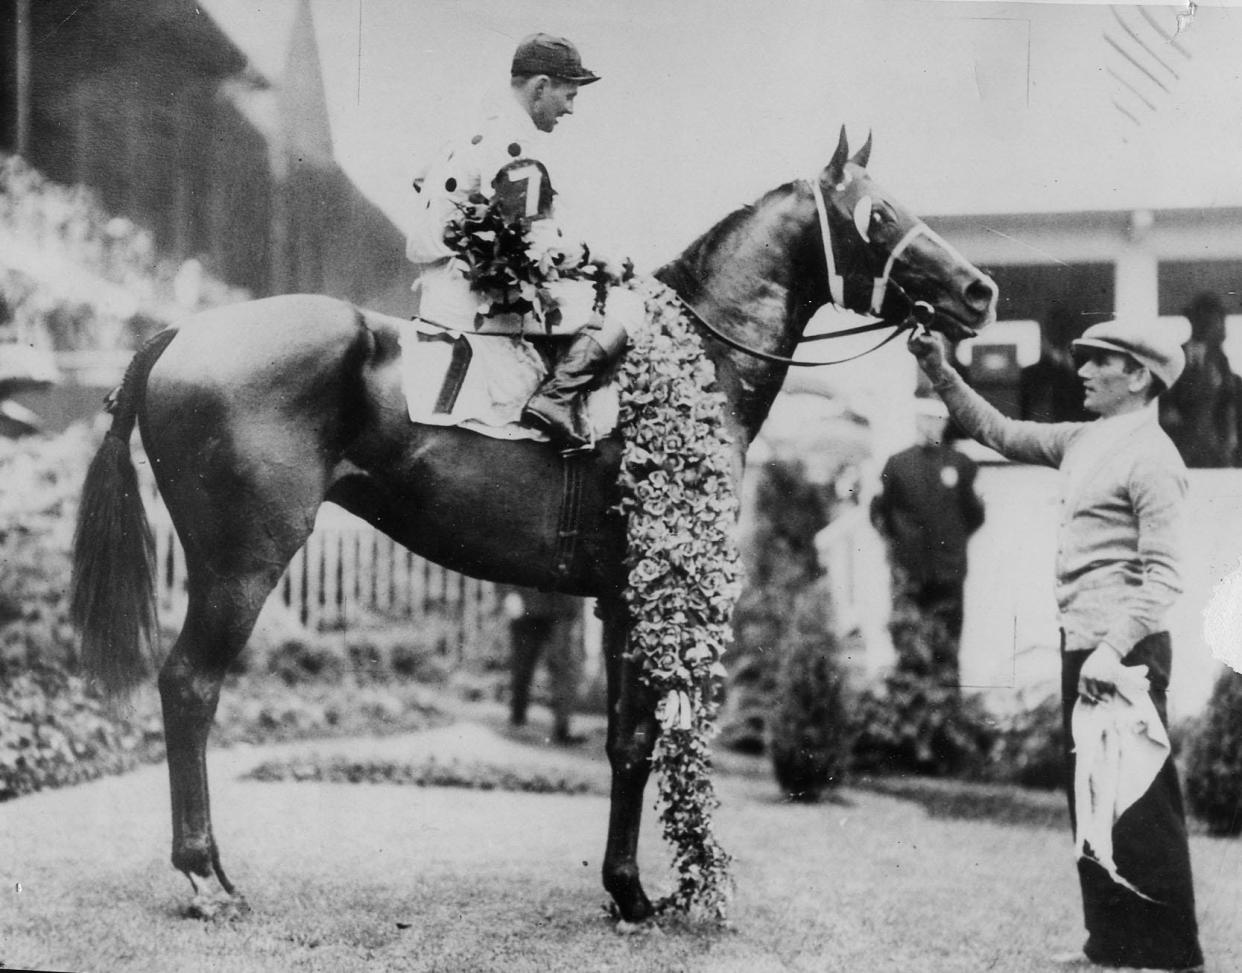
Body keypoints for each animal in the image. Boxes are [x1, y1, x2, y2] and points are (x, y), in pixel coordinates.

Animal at [67, 129, 998, 919]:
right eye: (877, 214)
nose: (979, 291)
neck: (696, 357)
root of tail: (183, 331)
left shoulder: (615, 602)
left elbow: (626, 741)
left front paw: (626, 889)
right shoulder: (642, 594)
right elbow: (637, 741)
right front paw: (633, 892)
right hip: (242, 565)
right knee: (190, 685)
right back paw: (203, 875)